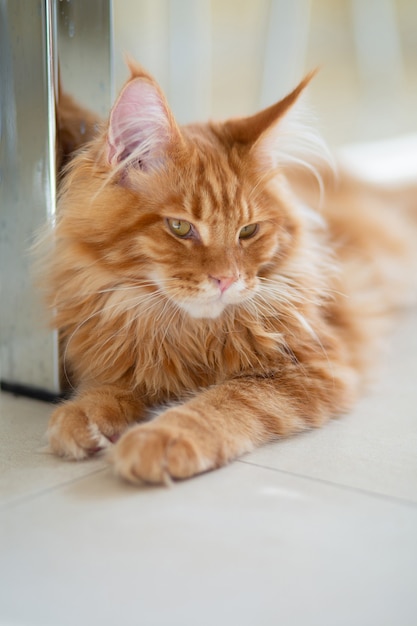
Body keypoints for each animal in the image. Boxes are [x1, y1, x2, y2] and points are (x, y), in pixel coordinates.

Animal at [43, 59, 416, 482]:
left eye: (248, 231)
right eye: (180, 227)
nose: (226, 280)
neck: (187, 333)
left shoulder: (310, 367)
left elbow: (226, 401)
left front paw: (163, 437)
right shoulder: (123, 353)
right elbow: (109, 386)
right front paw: (83, 415)